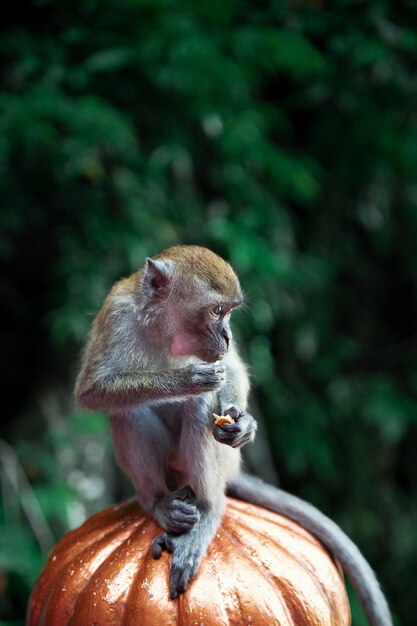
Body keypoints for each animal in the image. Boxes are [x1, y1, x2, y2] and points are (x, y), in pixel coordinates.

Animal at [76, 244, 392, 624]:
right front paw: (185, 380)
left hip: (221, 463)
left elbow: (232, 368)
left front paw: (244, 421)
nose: (226, 335)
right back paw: (158, 502)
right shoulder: (117, 316)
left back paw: (209, 510)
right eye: (216, 310)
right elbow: (92, 392)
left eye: (228, 312)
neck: (165, 331)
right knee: (131, 410)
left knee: (198, 411)